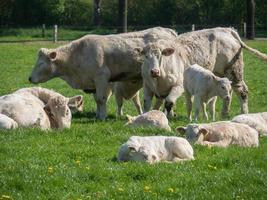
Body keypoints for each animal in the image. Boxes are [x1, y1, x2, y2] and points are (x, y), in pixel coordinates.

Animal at [28, 27, 178, 119]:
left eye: (41, 63)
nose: (29, 78)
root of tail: (167, 30)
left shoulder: (102, 79)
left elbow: (101, 99)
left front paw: (102, 116)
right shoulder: (93, 83)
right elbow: (97, 100)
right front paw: (97, 114)